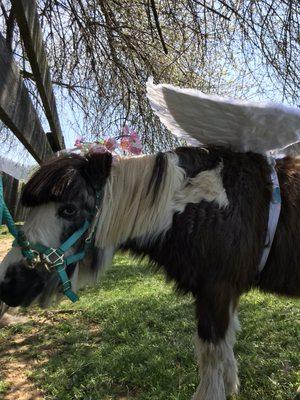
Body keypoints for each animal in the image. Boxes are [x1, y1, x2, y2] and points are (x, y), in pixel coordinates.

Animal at [0, 79, 300, 398]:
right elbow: (225, 351)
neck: (199, 207)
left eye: (68, 209)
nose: (7, 282)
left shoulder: (216, 290)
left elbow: (211, 360)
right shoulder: (225, 294)